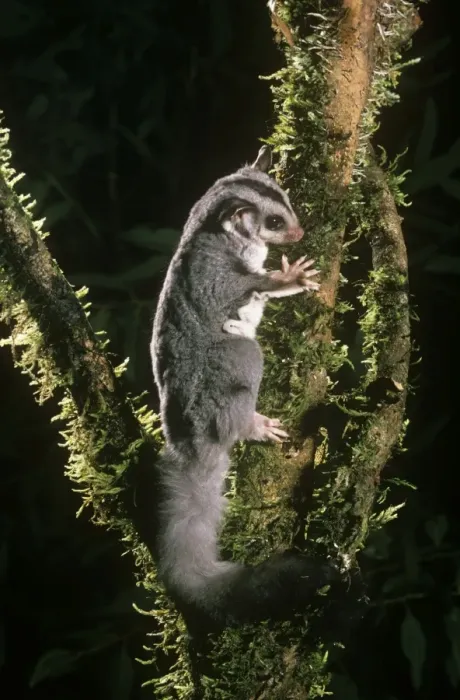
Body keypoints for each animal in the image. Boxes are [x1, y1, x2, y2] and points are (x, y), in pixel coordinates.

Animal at [150, 146, 343, 628]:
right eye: (274, 221)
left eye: (288, 202)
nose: (300, 231)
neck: (220, 232)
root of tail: (191, 444)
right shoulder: (214, 271)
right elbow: (244, 288)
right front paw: (289, 278)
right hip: (224, 374)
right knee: (246, 353)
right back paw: (251, 425)